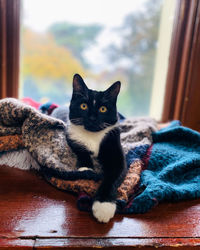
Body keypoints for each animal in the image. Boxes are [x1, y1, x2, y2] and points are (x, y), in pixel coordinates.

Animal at [51, 73, 126, 223]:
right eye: (83, 106)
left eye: (103, 109)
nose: (92, 118)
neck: (93, 136)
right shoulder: (71, 135)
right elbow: (81, 151)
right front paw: (87, 168)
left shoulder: (115, 147)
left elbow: (113, 176)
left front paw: (103, 206)